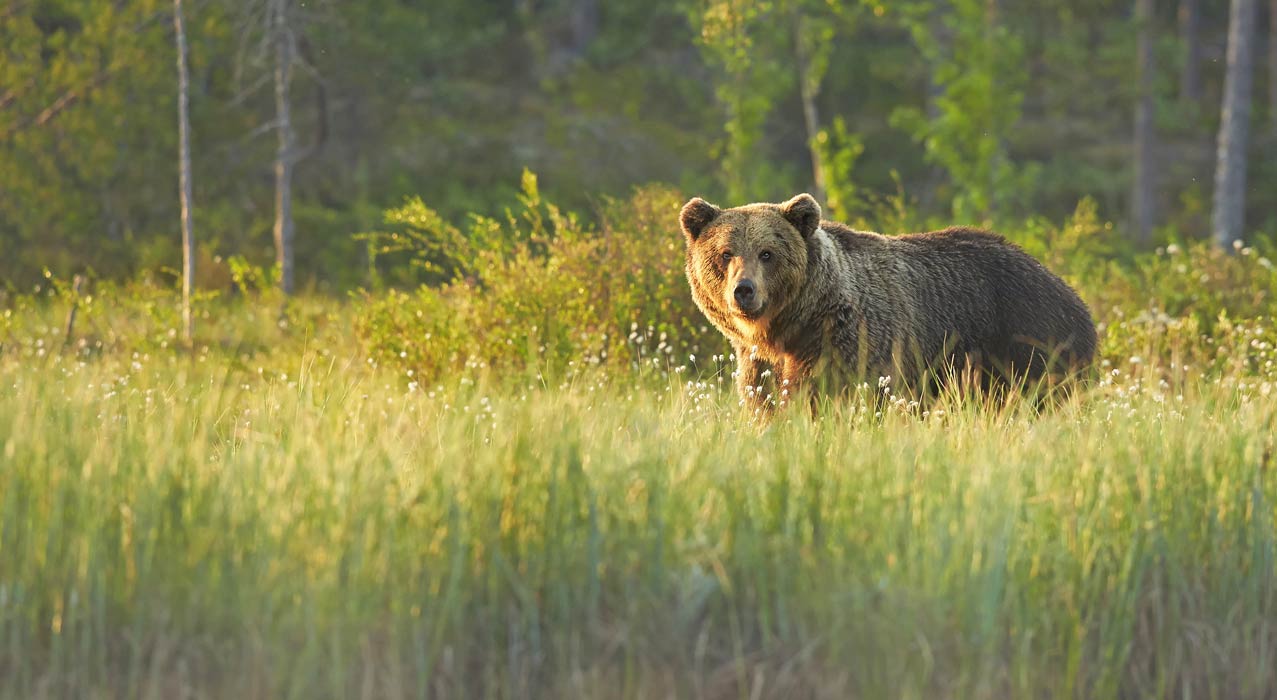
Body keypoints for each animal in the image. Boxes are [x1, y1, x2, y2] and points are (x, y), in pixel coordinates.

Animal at [679, 191, 1098, 411]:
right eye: (725, 253)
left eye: (767, 253)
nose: (744, 290)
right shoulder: (759, 361)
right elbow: (765, 401)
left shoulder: (851, 341)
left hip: (1028, 340)